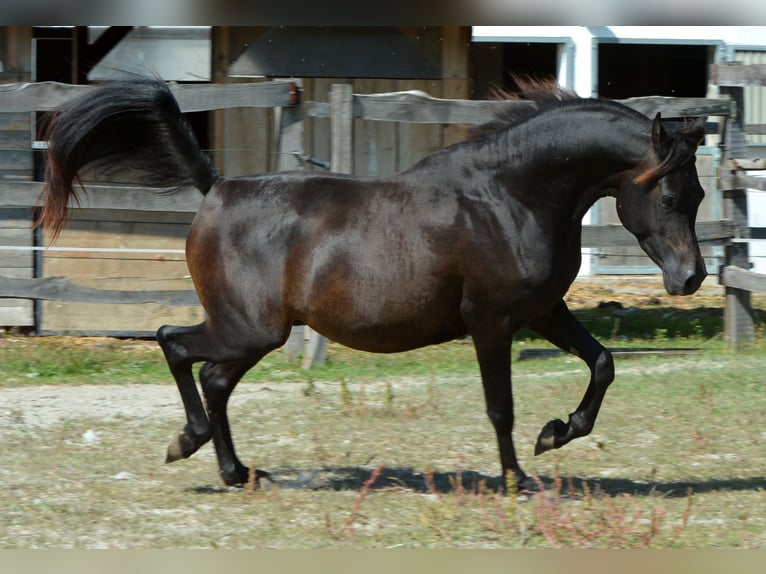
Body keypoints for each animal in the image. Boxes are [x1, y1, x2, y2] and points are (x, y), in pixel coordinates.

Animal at [36, 79, 708, 492]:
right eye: (670, 196)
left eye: (700, 194)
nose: (691, 277)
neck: (508, 196)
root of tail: (216, 186)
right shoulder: (490, 321)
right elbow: (500, 407)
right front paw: (517, 479)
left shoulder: (543, 311)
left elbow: (603, 363)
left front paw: (556, 434)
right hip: (248, 328)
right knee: (174, 343)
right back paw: (188, 444)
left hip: (253, 334)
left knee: (213, 379)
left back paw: (238, 471)